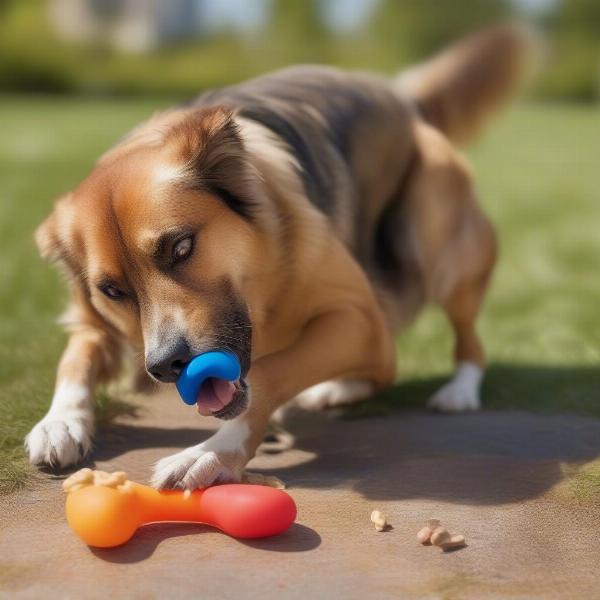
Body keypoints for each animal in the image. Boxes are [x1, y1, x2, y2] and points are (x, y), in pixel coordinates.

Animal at [25, 25, 536, 490]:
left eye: (182, 247)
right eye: (112, 290)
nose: (166, 366)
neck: (263, 286)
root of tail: (398, 93)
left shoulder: (356, 316)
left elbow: (271, 373)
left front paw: (214, 452)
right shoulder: (92, 321)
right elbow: (76, 356)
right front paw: (60, 422)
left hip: (435, 234)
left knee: (451, 342)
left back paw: (457, 390)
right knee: (385, 364)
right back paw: (340, 388)